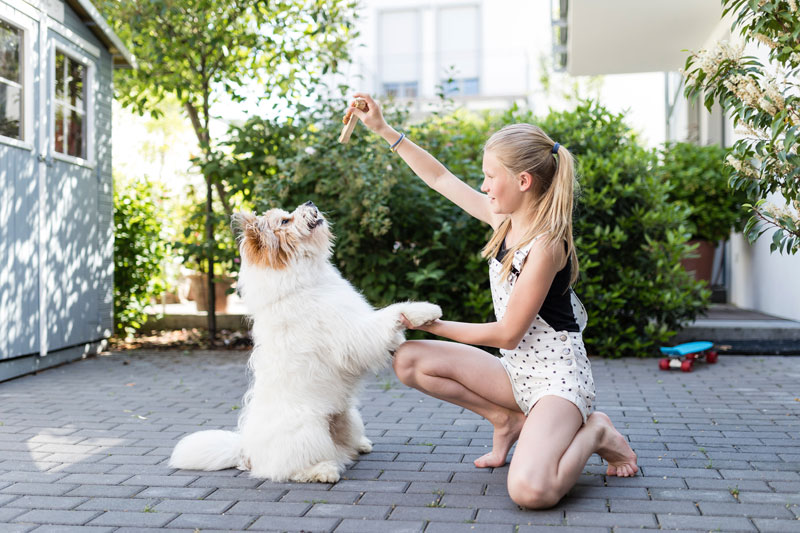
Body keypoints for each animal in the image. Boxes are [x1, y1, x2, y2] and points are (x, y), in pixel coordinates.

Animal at [170, 201, 444, 482]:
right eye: (285, 221)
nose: (310, 203)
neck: (304, 282)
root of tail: (246, 452)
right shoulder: (354, 334)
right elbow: (390, 314)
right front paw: (425, 310)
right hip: (309, 431)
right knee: (288, 468)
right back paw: (323, 470)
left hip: (348, 415)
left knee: (342, 444)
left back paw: (359, 445)